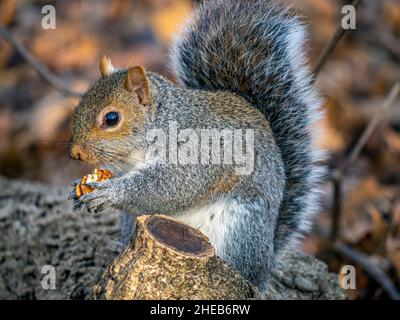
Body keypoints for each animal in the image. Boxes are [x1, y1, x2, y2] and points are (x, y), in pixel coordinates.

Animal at [68, 0, 324, 290]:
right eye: (80, 104)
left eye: (111, 118)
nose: (75, 153)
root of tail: (266, 262)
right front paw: (79, 189)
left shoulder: (199, 151)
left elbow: (172, 185)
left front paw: (110, 192)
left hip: (240, 229)